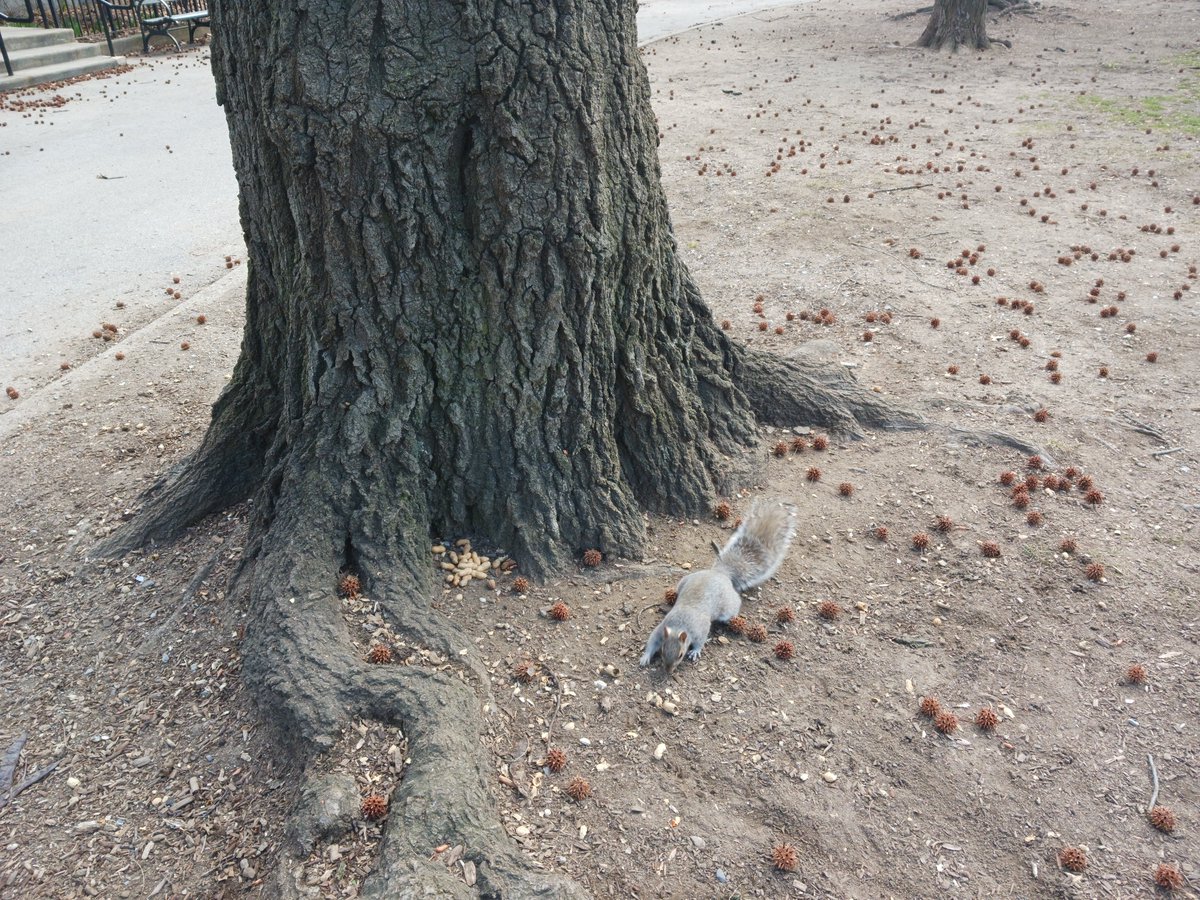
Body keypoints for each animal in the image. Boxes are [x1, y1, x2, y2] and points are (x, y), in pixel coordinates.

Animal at [638, 501, 796, 676]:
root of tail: (721, 573)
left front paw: (695, 651)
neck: (680, 625)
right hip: (683, 581)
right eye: (663, 650)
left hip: (728, 607)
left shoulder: (700, 630)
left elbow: (700, 641)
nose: (668, 671)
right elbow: (652, 640)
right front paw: (645, 657)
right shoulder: (661, 629)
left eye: (681, 654)